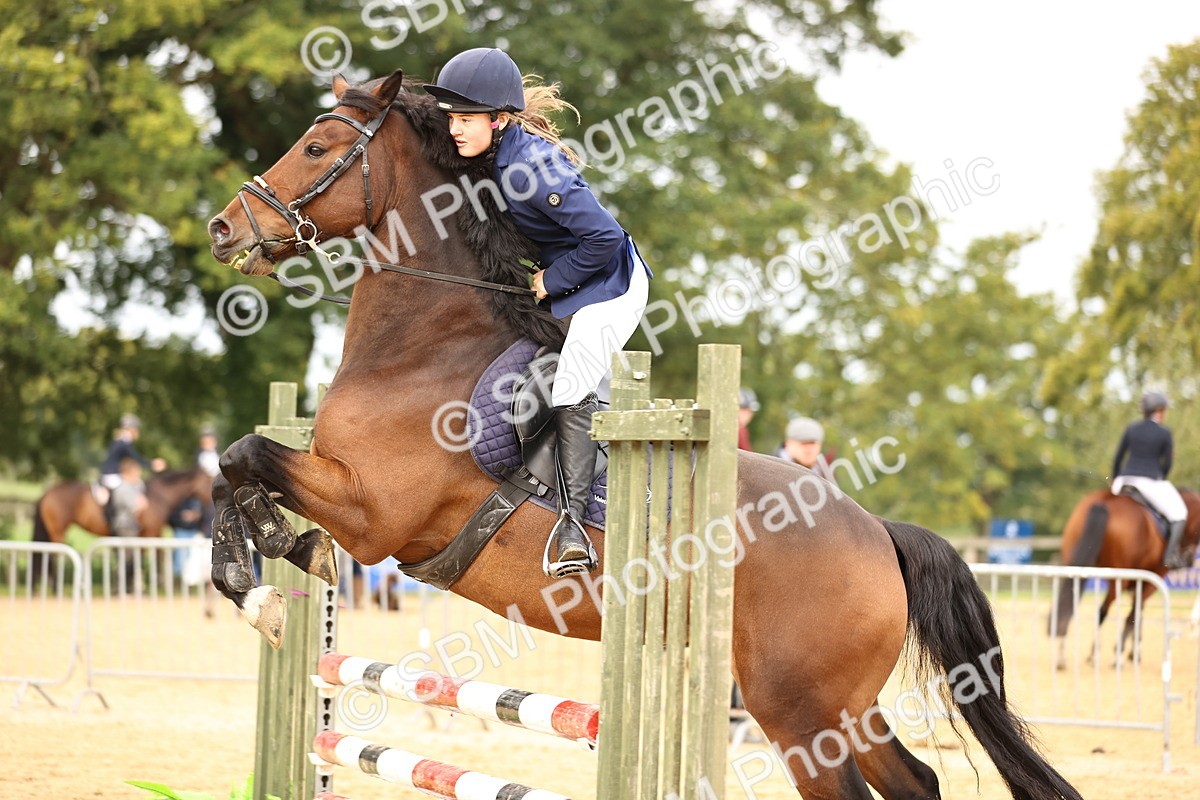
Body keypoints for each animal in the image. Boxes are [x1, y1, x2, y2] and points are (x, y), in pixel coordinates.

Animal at [204, 70, 1082, 800]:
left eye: (316, 147)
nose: (222, 228)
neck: (422, 344)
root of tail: (878, 533)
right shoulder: (340, 484)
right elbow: (234, 470)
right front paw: (271, 566)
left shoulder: (376, 513)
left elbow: (247, 457)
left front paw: (273, 579)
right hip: (840, 705)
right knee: (915, 780)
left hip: (798, 706)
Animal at [1051, 487, 1200, 668]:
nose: (1189, 559)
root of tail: (1105, 501)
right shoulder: (1151, 581)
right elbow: (1133, 615)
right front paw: (1121, 653)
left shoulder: (1140, 580)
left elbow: (1138, 612)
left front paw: (1133, 653)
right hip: (1118, 579)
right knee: (1103, 611)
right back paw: (1097, 655)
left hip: (1075, 564)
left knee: (1070, 601)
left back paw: (1062, 656)